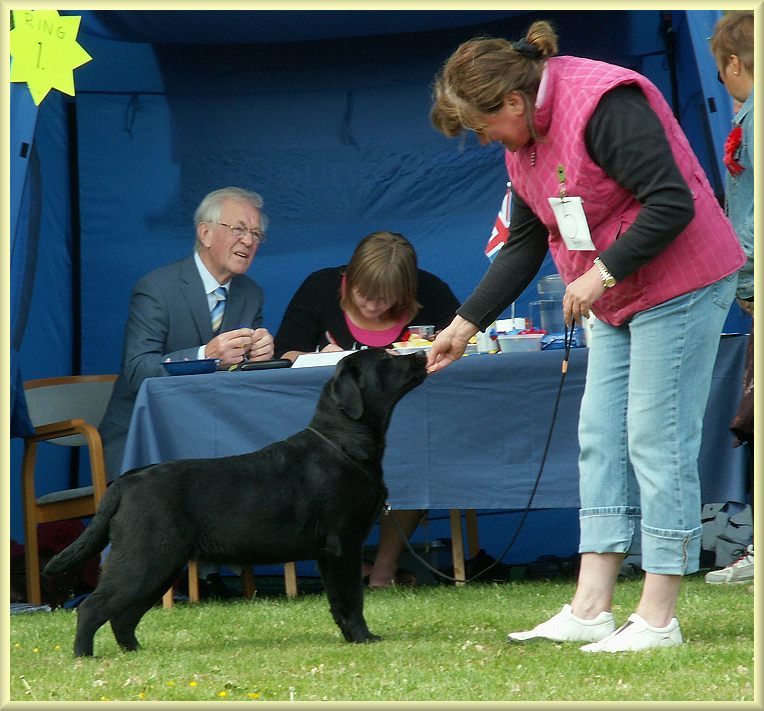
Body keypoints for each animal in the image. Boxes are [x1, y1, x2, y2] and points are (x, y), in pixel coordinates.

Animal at [44, 348, 426, 660]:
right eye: (387, 357)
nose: (423, 353)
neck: (344, 441)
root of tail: (125, 482)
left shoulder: (328, 554)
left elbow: (338, 602)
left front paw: (352, 637)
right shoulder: (343, 543)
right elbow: (351, 599)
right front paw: (364, 638)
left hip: (161, 566)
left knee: (123, 615)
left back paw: (134, 652)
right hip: (145, 559)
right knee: (92, 607)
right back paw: (84, 656)